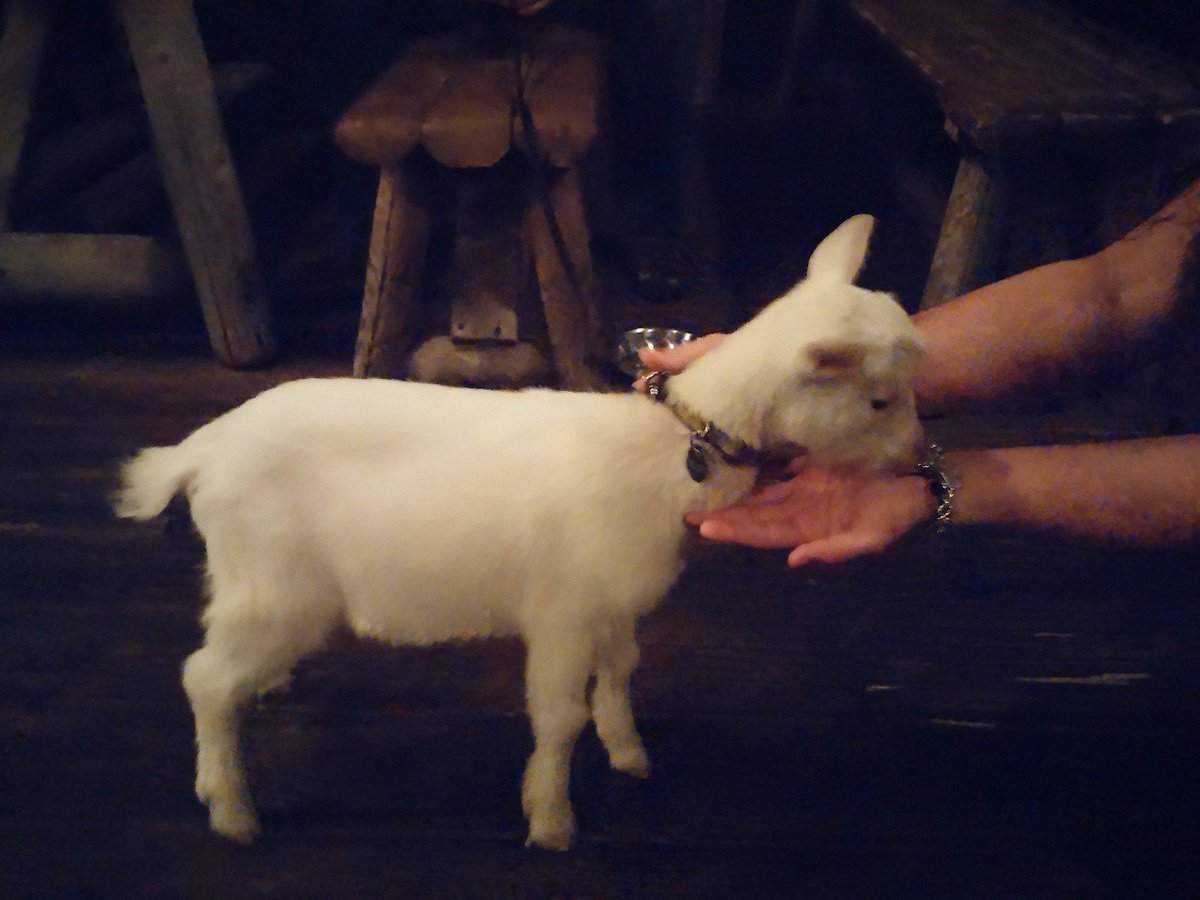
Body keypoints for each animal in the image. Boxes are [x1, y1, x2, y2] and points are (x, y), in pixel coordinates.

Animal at [114, 215, 924, 849]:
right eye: (879, 399)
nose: (919, 461)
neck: (670, 452)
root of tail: (201, 450)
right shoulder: (562, 612)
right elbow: (559, 716)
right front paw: (552, 820)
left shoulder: (610, 605)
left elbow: (620, 672)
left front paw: (627, 752)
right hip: (275, 583)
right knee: (204, 679)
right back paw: (231, 809)